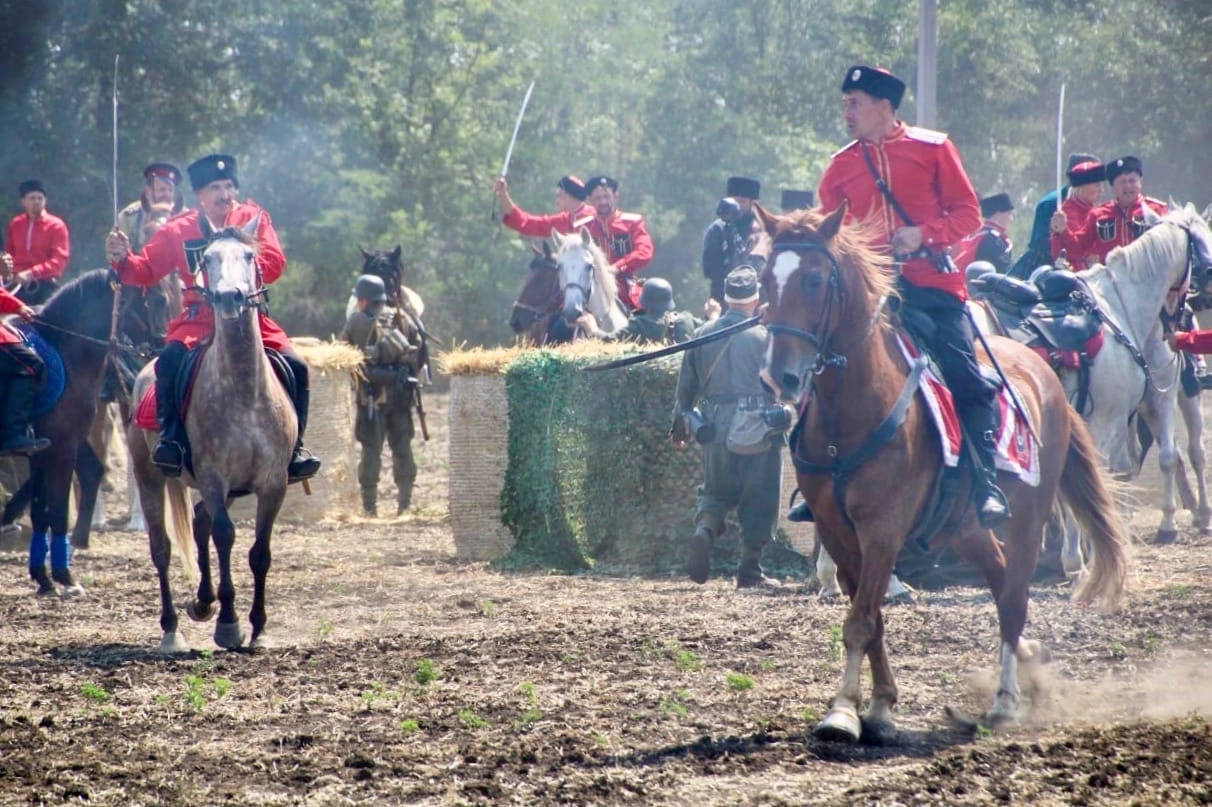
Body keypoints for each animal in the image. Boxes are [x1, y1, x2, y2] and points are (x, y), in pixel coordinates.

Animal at [756, 205, 1124, 741]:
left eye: (814, 279)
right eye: (766, 280)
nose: (779, 376)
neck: (854, 407)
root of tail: (1043, 368)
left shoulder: (883, 528)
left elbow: (861, 621)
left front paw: (843, 710)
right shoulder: (837, 528)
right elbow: (869, 618)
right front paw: (879, 705)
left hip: (1028, 519)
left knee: (1013, 597)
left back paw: (1005, 701)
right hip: (965, 527)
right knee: (999, 578)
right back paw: (1028, 657)